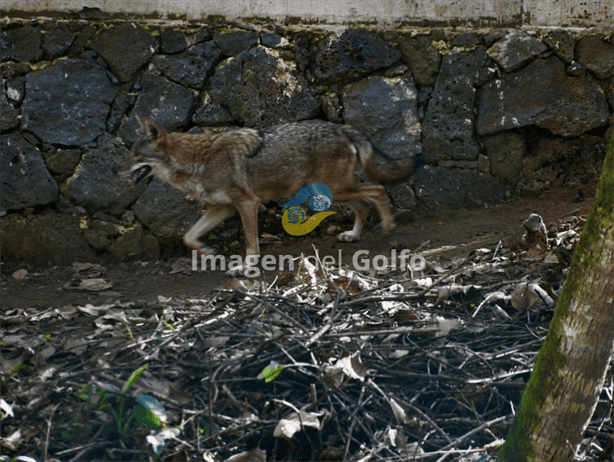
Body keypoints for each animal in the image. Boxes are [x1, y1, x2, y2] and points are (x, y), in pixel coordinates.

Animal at [114, 119, 424, 276]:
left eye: (136, 155)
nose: (114, 169)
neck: (198, 161)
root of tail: (341, 126)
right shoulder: (222, 209)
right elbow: (188, 236)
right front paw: (208, 252)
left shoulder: (247, 204)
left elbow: (251, 245)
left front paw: (244, 268)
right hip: (328, 192)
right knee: (363, 204)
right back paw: (354, 235)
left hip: (333, 190)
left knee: (378, 191)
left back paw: (388, 227)